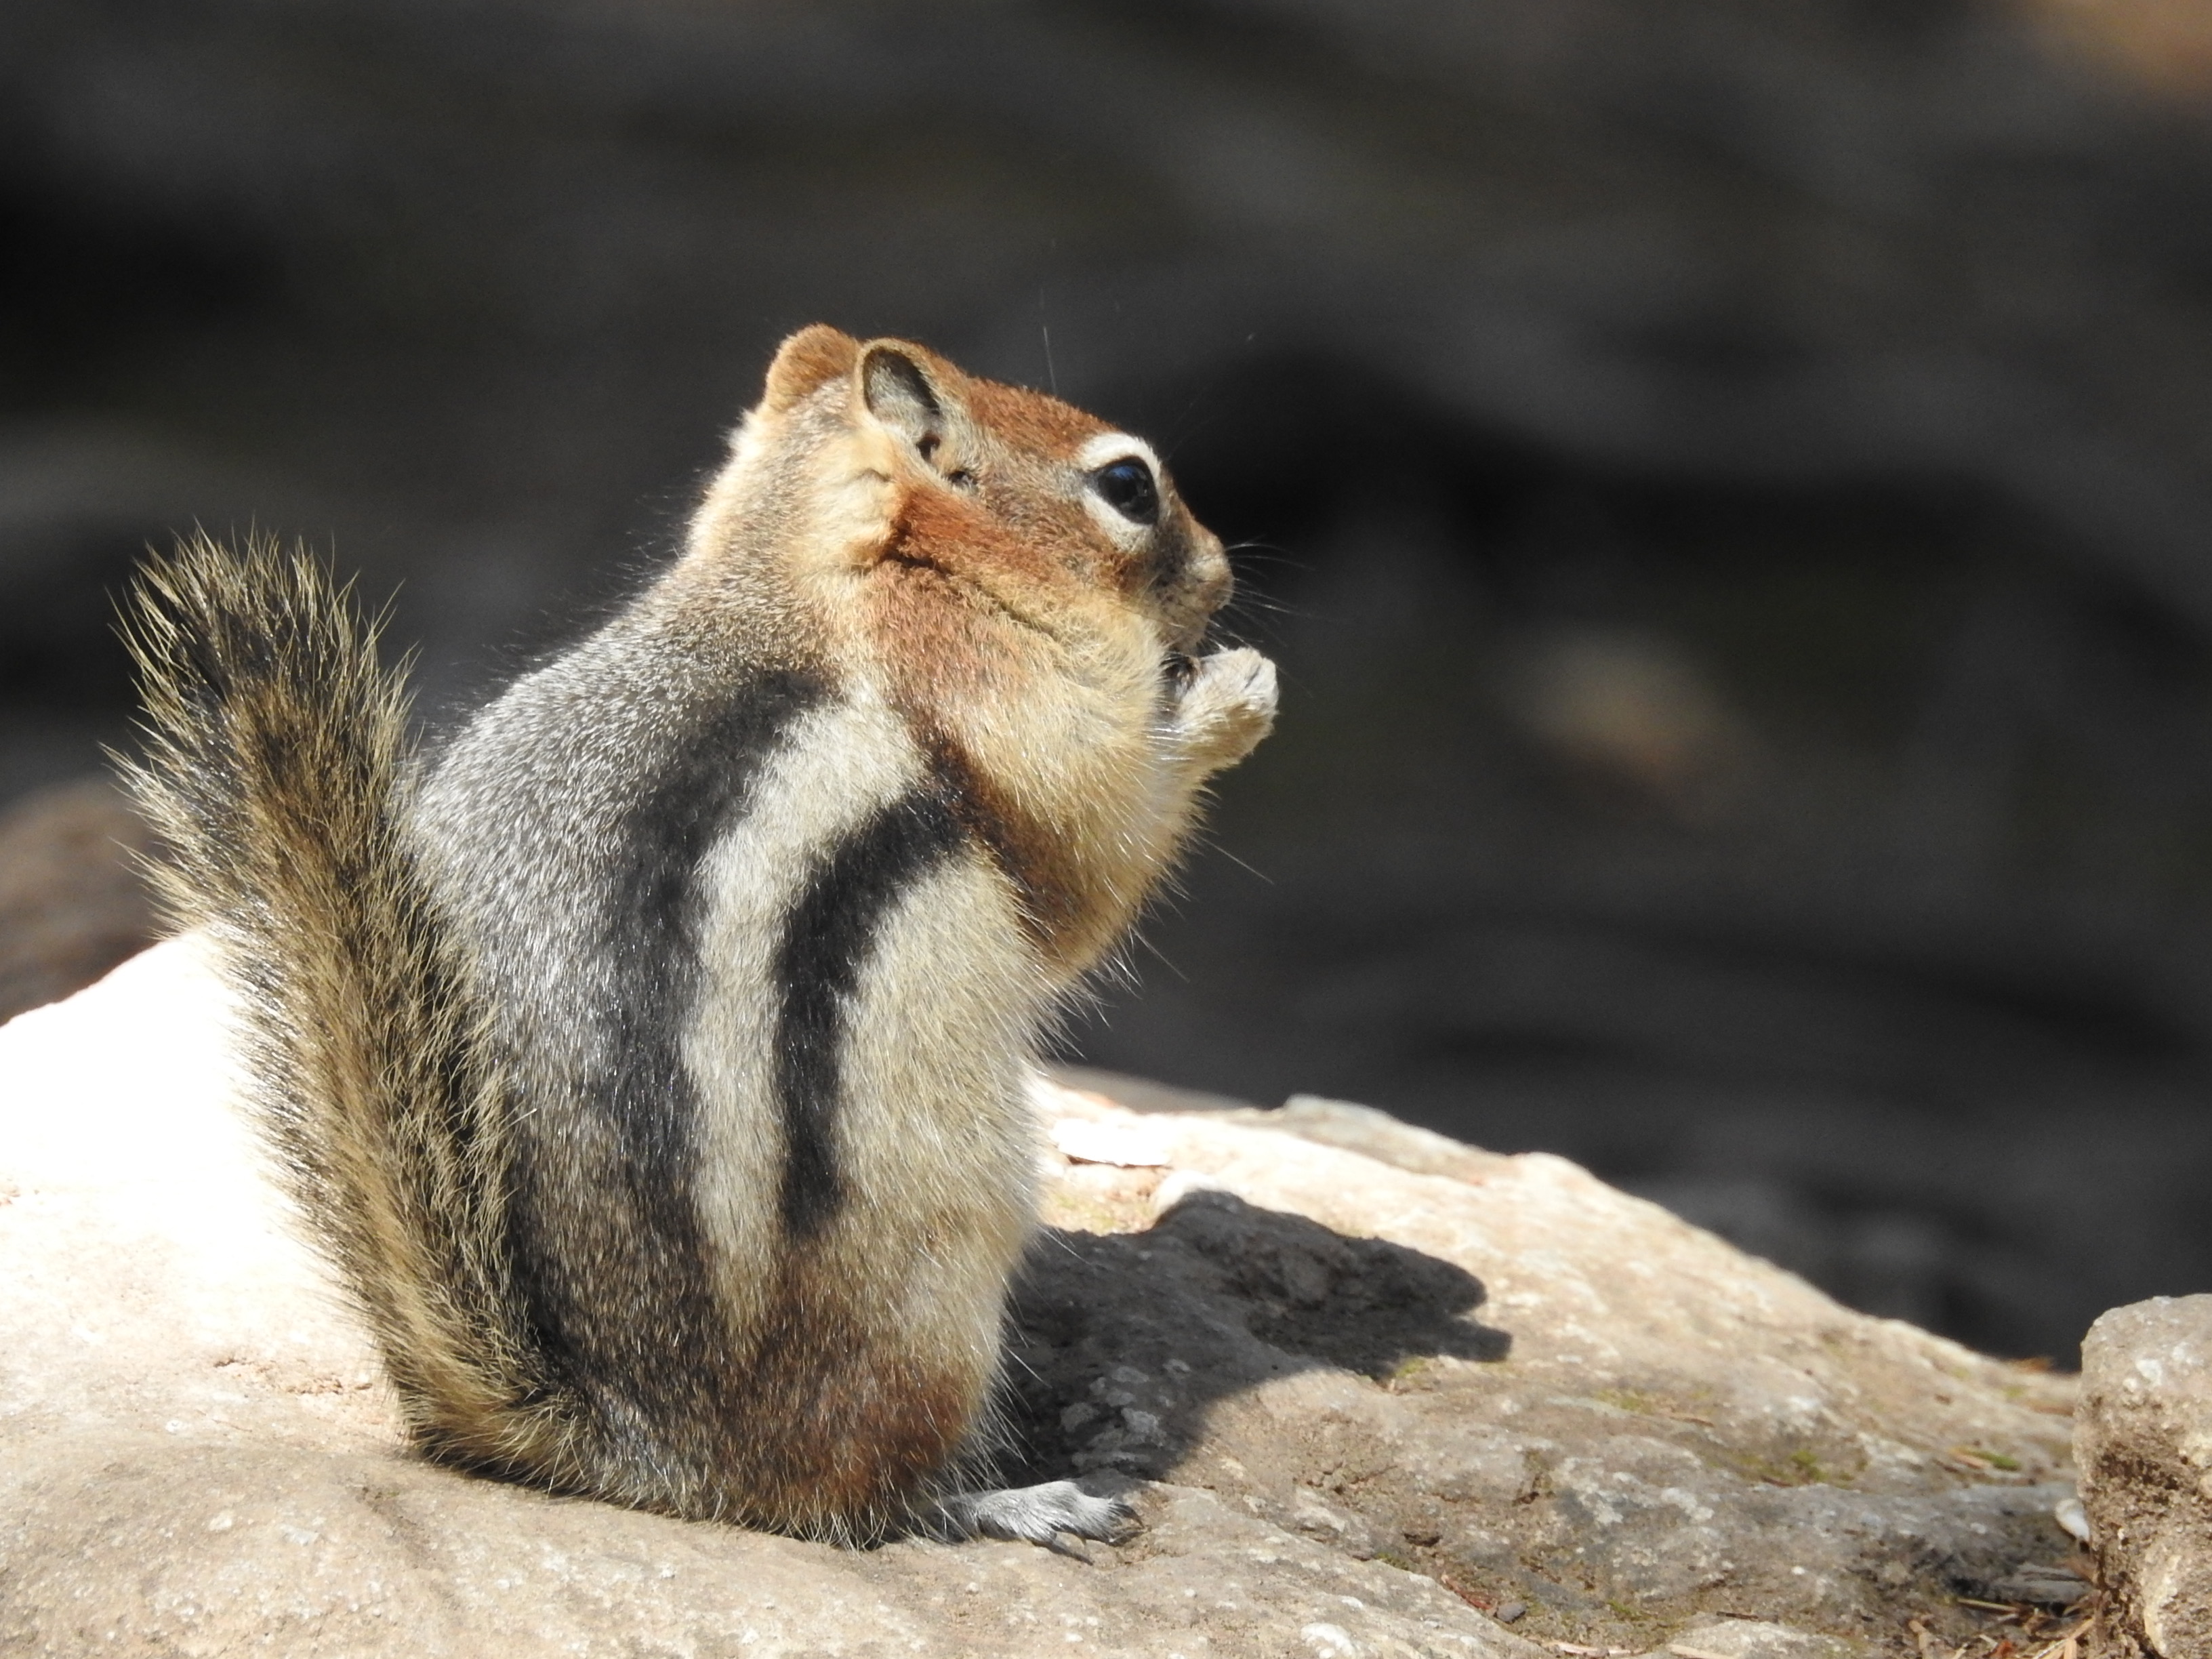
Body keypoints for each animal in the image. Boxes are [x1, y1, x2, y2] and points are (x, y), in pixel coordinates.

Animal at [118, 326, 1276, 1547]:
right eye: (1128, 486)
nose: (1222, 572)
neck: (793, 577)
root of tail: (637, 1445)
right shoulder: (1001, 702)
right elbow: (1091, 855)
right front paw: (1233, 695)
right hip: (932, 1286)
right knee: (857, 1494)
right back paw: (1015, 1497)